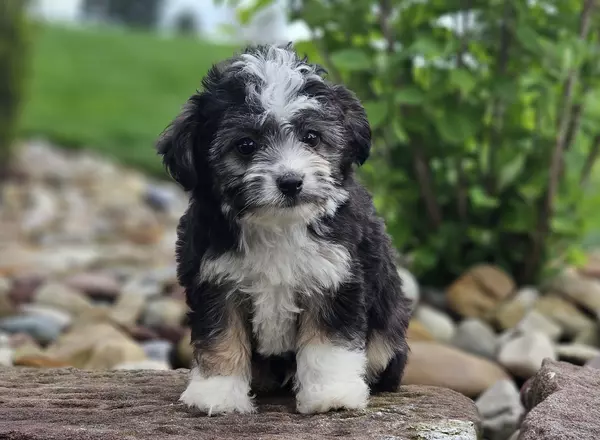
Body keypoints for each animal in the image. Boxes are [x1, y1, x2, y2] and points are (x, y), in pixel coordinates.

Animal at [157, 42, 410, 416]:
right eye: (246, 145)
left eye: (312, 137)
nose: (291, 182)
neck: (277, 224)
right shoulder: (215, 280)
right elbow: (220, 335)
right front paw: (217, 392)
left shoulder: (335, 277)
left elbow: (328, 342)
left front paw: (331, 394)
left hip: (386, 330)